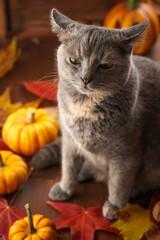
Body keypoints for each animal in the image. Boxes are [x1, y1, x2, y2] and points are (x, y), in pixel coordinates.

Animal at [31, 9, 160, 219]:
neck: (84, 107)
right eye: (74, 61)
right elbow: (68, 166)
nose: (85, 78)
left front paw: (115, 207)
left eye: (105, 65)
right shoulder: (69, 141)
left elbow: (119, 183)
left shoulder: (126, 155)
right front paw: (65, 189)